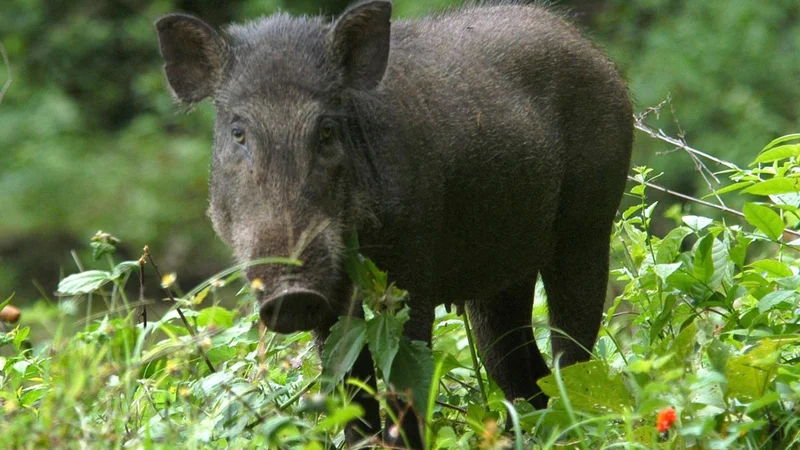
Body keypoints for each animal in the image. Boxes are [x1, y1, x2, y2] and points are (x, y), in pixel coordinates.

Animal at [155, 0, 633, 447]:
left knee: (572, 353)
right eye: (238, 133)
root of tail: (597, 54)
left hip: (588, 228)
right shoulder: (333, 301)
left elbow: (403, 382)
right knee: (518, 367)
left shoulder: (413, 270)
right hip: (501, 278)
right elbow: (350, 383)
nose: (291, 294)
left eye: (326, 131)